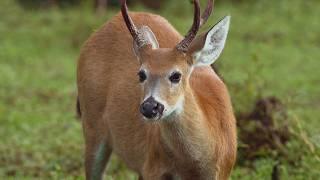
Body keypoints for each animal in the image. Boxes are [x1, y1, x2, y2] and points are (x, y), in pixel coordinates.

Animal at [77, 0, 238, 179]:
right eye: (141, 74)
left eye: (176, 75)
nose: (150, 107)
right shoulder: (152, 168)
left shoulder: (223, 171)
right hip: (91, 124)